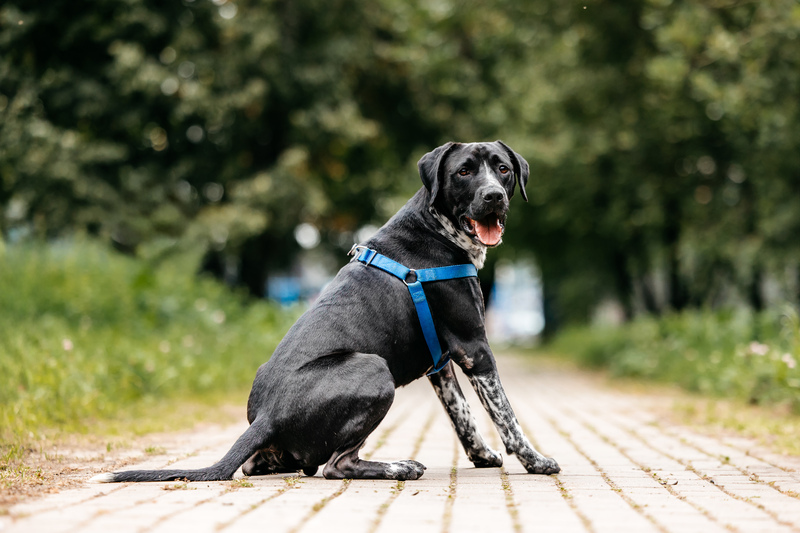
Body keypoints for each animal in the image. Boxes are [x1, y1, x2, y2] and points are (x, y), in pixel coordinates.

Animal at [90, 141, 560, 482]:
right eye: (464, 171)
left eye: (502, 169)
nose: (494, 196)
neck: (437, 227)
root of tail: (268, 415)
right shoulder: (474, 348)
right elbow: (506, 416)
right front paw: (535, 461)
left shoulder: (441, 364)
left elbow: (462, 416)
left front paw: (483, 456)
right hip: (374, 369)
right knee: (336, 465)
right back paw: (399, 466)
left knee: (263, 464)